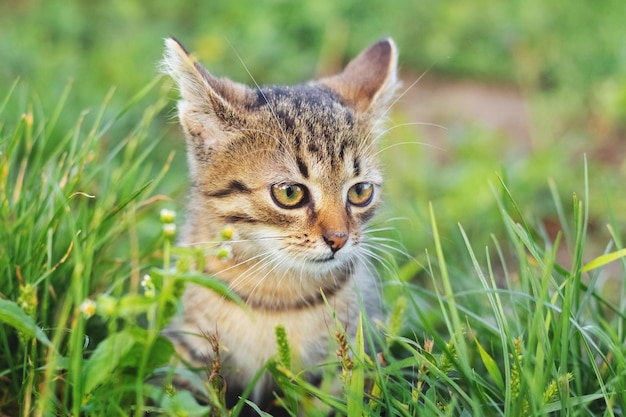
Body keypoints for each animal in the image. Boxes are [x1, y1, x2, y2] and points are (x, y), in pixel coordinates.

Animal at [160, 36, 394, 410]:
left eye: (360, 191)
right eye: (289, 193)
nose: (339, 239)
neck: (274, 295)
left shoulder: (342, 359)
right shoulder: (187, 350)